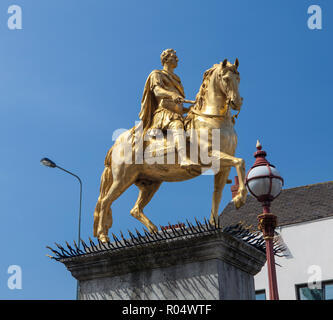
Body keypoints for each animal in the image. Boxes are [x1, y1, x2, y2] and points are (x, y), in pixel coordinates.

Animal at [93, 58, 246, 241]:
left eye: (239, 78)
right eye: (226, 78)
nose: (237, 102)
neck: (213, 119)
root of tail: (115, 145)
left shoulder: (223, 166)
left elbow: (218, 193)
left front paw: (215, 224)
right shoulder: (211, 155)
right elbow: (240, 162)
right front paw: (240, 199)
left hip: (151, 183)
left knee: (135, 209)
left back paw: (154, 231)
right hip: (123, 179)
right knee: (105, 202)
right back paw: (103, 237)